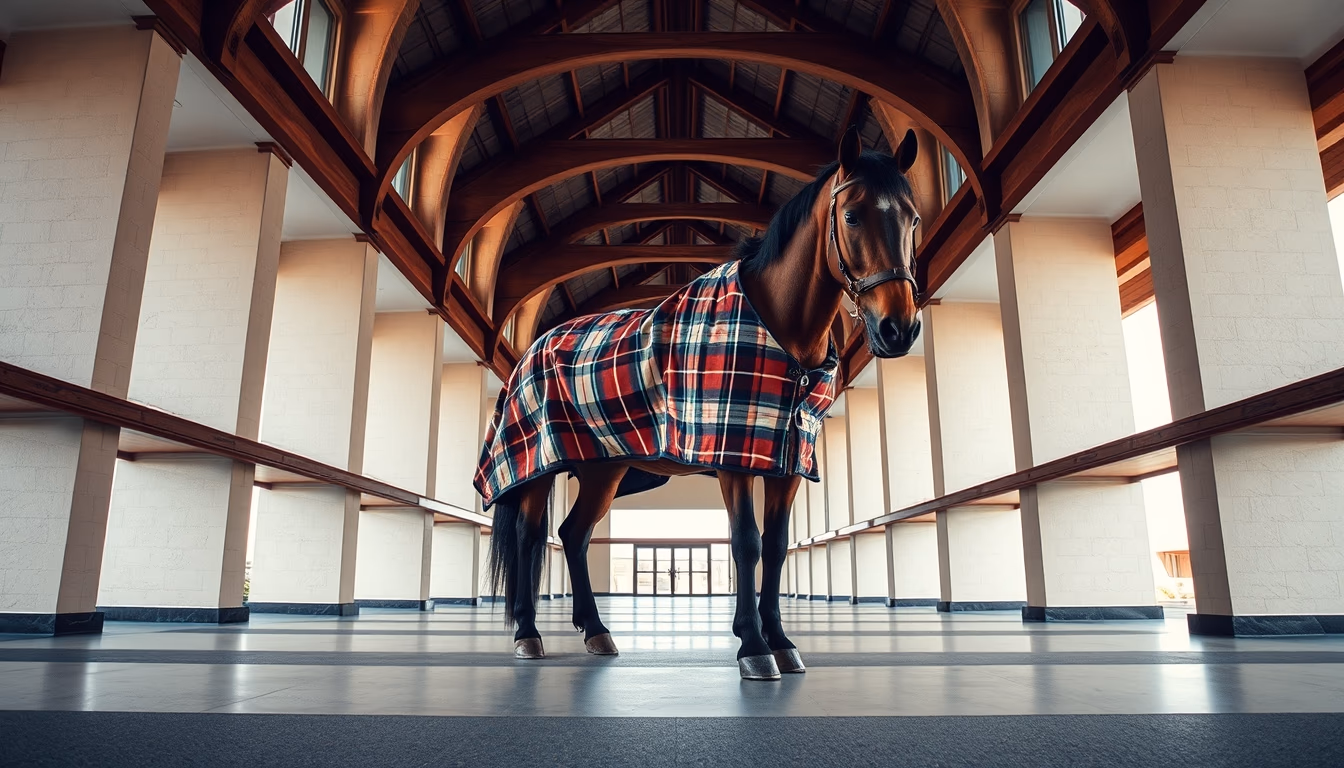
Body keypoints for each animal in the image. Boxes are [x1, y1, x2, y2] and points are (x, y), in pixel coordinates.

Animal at [474, 126, 923, 680]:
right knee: (529, 536)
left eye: (913, 218)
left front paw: (780, 642)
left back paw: (597, 632)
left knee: (573, 535)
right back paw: (527, 634)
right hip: (536, 465)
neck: (779, 327)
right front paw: (752, 647)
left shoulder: (788, 463)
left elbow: (775, 547)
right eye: (853, 215)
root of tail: (533, 347)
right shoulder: (733, 455)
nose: (898, 328)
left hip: (604, 470)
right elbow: (746, 543)